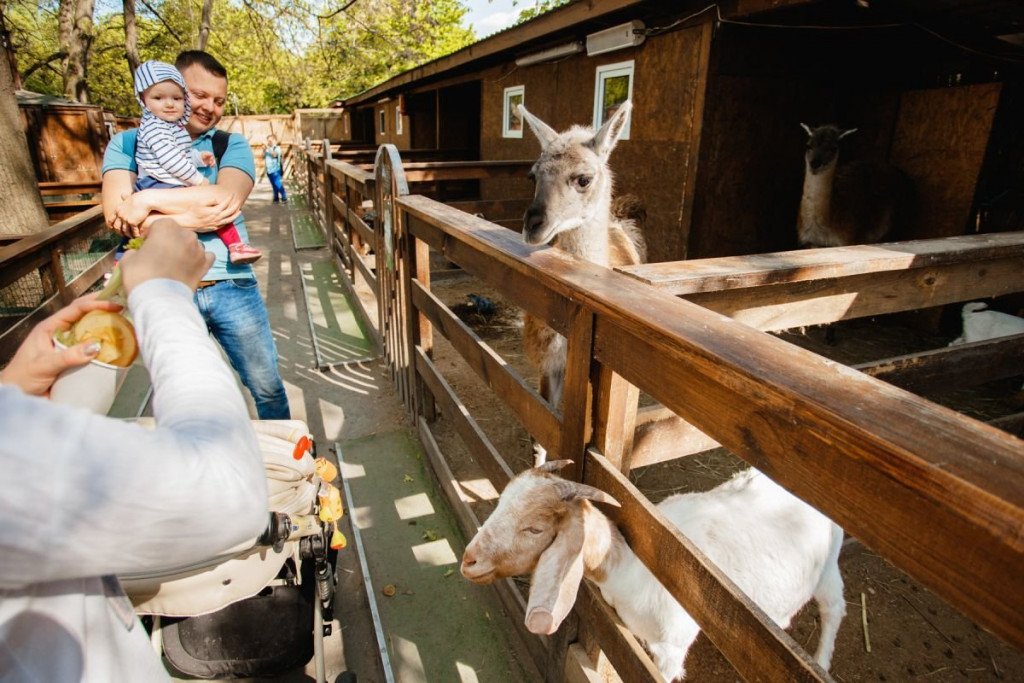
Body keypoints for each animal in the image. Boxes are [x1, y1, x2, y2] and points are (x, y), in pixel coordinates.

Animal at [464, 462, 847, 679]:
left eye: (535, 529)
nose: (469, 560)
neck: (633, 570)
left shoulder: (671, 647)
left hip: (829, 566)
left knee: (834, 610)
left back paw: (822, 660)